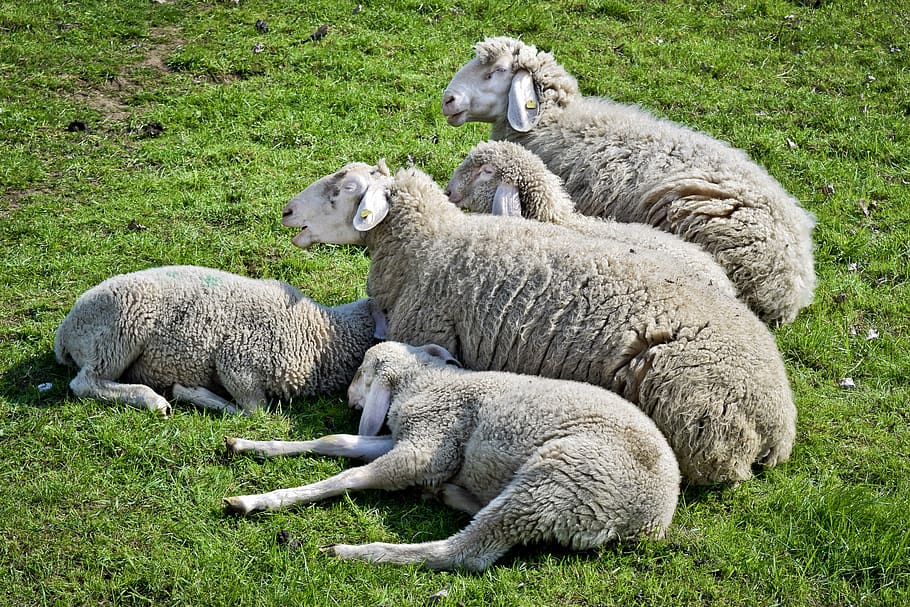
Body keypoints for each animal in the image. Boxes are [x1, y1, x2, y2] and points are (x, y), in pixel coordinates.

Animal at [54, 265, 383, 415]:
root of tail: (65, 331)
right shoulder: (238, 364)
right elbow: (254, 412)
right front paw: (190, 392)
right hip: (119, 329)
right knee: (86, 383)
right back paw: (153, 400)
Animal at [224, 341, 680, 571]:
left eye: (359, 373)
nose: (349, 400)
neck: (429, 381)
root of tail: (651, 520)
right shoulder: (415, 437)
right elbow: (334, 441)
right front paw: (251, 445)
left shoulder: (426, 447)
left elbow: (348, 478)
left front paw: (259, 500)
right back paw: (449, 495)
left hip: (565, 477)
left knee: (466, 554)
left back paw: (358, 551)